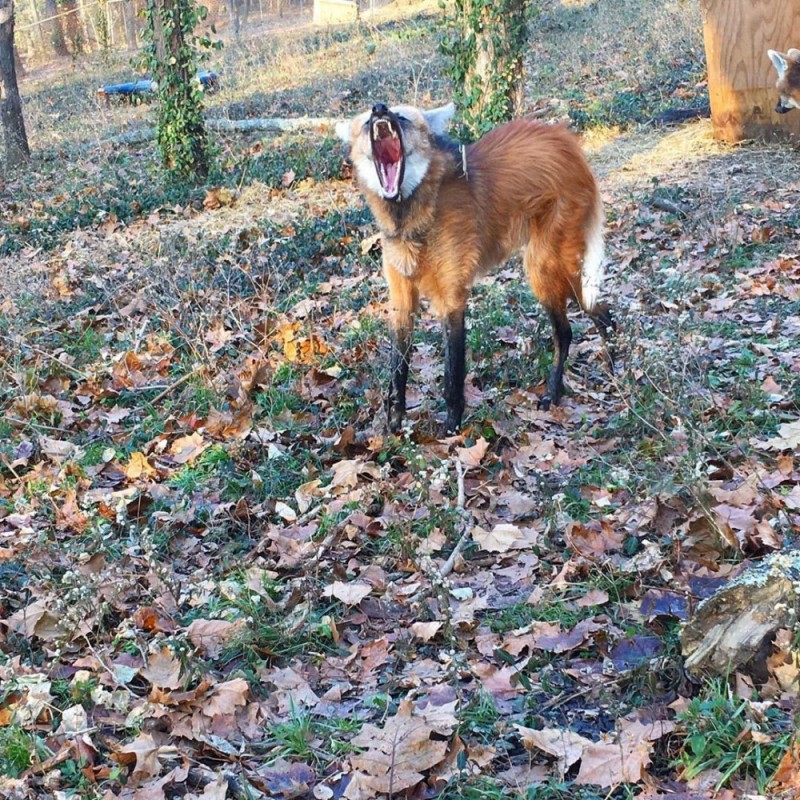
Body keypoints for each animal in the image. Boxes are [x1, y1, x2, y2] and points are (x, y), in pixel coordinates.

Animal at [338, 103, 612, 434]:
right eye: (368, 121)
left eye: (401, 117)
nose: (380, 108)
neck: (410, 215)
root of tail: (568, 142)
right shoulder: (402, 298)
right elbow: (398, 370)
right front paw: (393, 426)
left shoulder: (452, 298)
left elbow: (453, 373)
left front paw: (451, 429)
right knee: (598, 308)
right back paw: (612, 366)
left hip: (543, 265)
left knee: (569, 326)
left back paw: (555, 393)